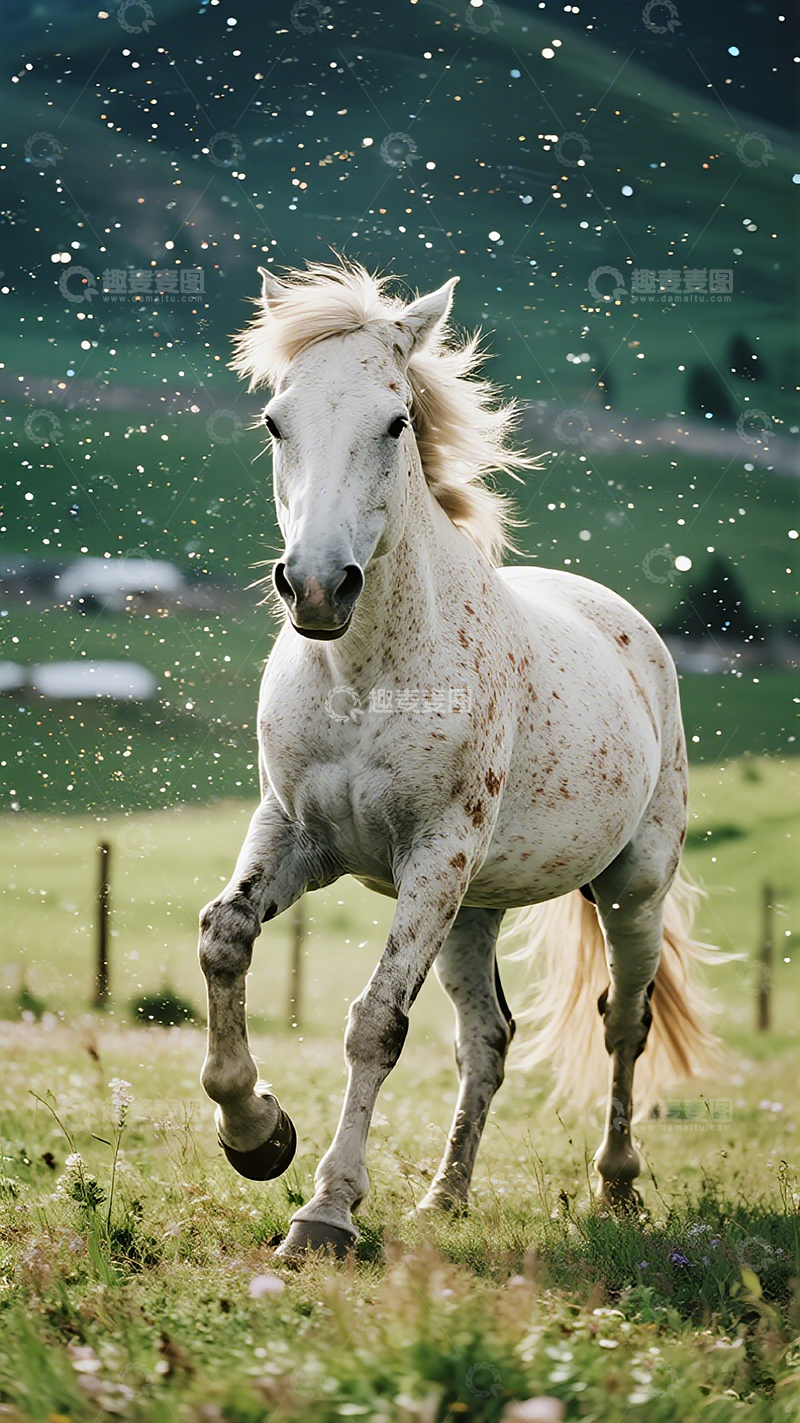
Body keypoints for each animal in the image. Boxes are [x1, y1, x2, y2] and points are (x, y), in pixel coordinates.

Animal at [197, 261, 719, 1260]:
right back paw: (445, 1198)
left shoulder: (434, 856)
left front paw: (326, 1212)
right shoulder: (295, 834)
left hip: (627, 886)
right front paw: (258, 1134)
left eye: (395, 422)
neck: (368, 678)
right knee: (490, 1037)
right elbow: (224, 938)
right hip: (474, 909)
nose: (316, 587)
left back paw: (618, 1186)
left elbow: (375, 1022)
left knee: (623, 1023)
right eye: (275, 420)